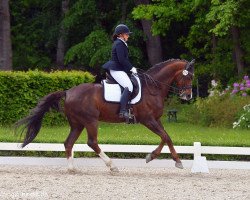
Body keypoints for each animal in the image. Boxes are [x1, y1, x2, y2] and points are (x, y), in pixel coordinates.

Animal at [15, 58, 195, 172]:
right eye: (189, 77)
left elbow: (166, 137)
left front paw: (154, 156)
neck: (153, 87)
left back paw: (72, 169)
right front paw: (176, 161)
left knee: (68, 143)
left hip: (77, 123)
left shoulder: (155, 120)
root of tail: (68, 92)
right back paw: (112, 165)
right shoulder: (148, 120)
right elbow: (166, 137)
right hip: (91, 121)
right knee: (92, 142)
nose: (188, 96)